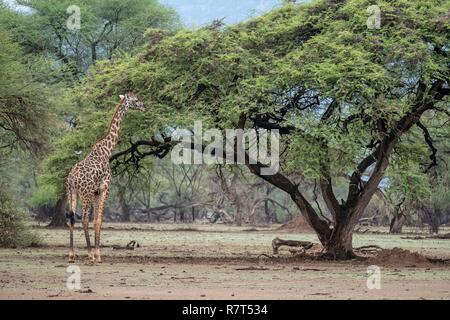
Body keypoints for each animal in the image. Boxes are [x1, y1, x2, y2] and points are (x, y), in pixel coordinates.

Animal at [66, 92, 146, 262]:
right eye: (135, 100)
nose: (144, 106)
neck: (107, 150)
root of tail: (72, 178)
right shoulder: (104, 188)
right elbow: (99, 220)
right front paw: (97, 255)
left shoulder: (96, 191)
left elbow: (97, 220)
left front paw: (97, 253)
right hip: (85, 194)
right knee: (83, 219)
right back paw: (89, 254)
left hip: (71, 193)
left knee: (71, 218)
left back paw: (71, 254)